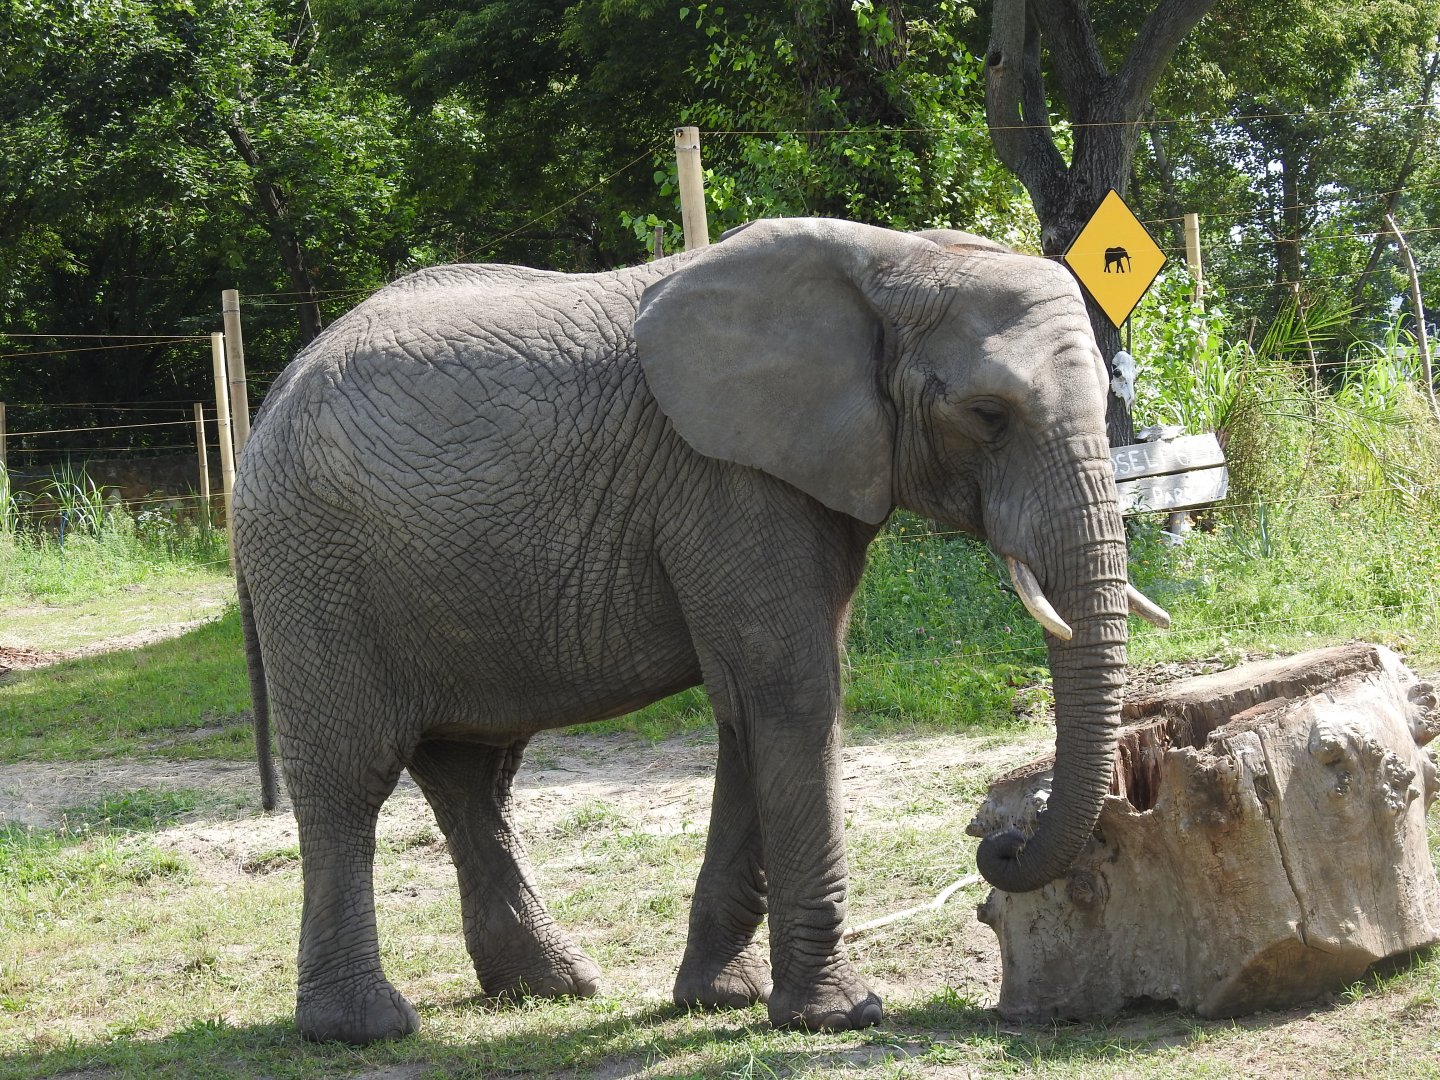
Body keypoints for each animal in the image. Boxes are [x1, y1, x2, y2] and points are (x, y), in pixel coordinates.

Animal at [232, 216, 1169, 1045]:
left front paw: (722, 1000)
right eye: (986, 414)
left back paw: (553, 987)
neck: (895, 263)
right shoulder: (727, 478)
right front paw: (841, 1016)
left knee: (473, 777)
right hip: (312, 566)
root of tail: (268, 401)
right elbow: (794, 694)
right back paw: (362, 1029)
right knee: (351, 777)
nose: (1000, 841)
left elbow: (753, 711)